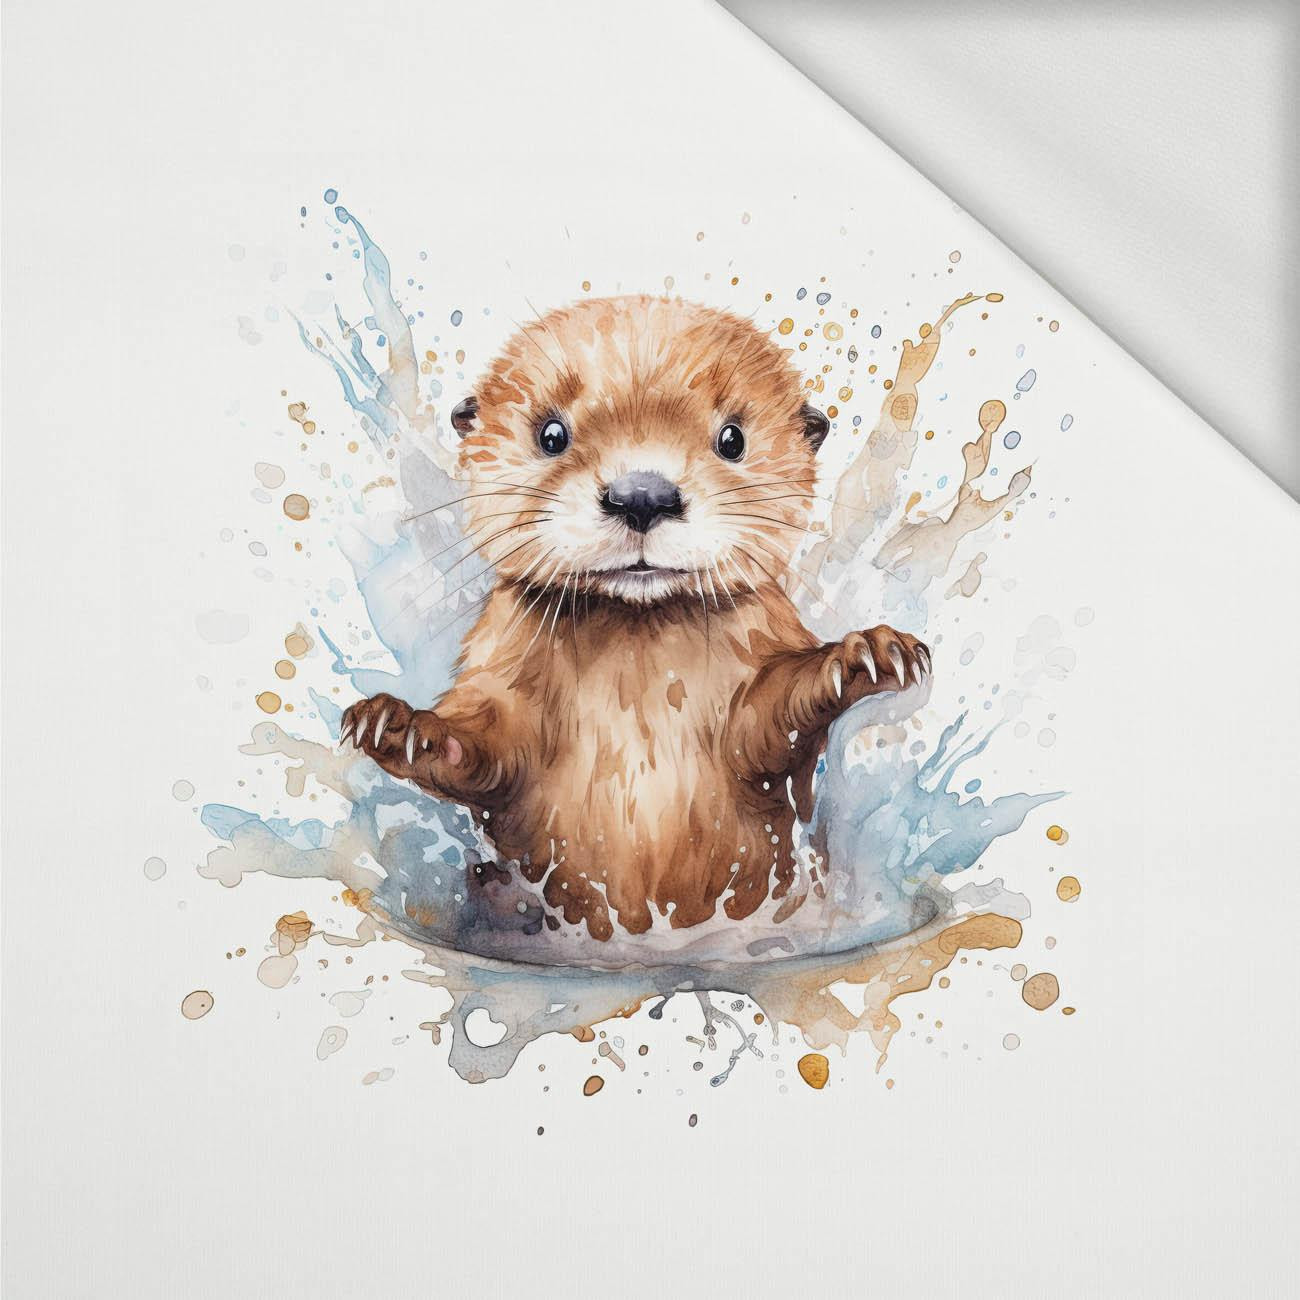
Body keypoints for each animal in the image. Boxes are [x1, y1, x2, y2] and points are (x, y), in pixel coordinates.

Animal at [341, 296, 929, 941]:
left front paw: (865, 654)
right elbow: (488, 743)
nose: (642, 496)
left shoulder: (759, 656)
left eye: (732, 438)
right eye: (551, 434)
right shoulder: (500, 668)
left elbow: (771, 716)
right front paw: (401, 726)